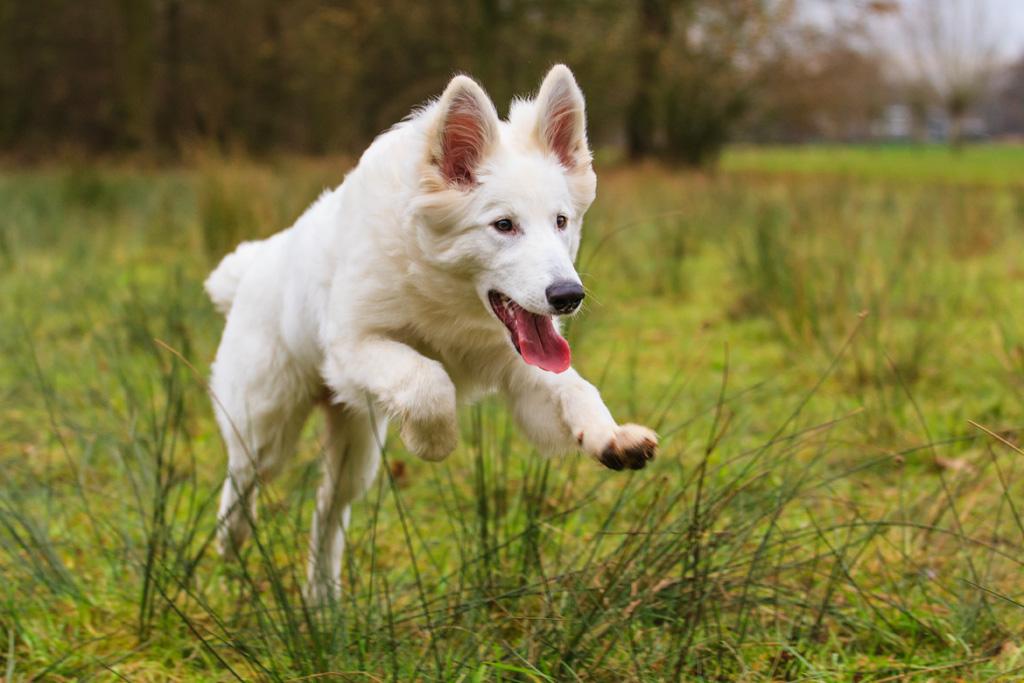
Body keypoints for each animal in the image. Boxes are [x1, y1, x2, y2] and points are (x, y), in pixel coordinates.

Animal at [203, 63, 659, 598]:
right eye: (504, 225)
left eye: (561, 221)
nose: (569, 295)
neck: (448, 298)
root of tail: (249, 268)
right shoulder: (354, 347)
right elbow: (429, 382)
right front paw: (434, 442)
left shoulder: (522, 372)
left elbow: (575, 388)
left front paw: (612, 437)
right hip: (265, 423)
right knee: (242, 479)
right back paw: (231, 543)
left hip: (354, 449)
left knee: (328, 509)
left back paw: (322, 598)